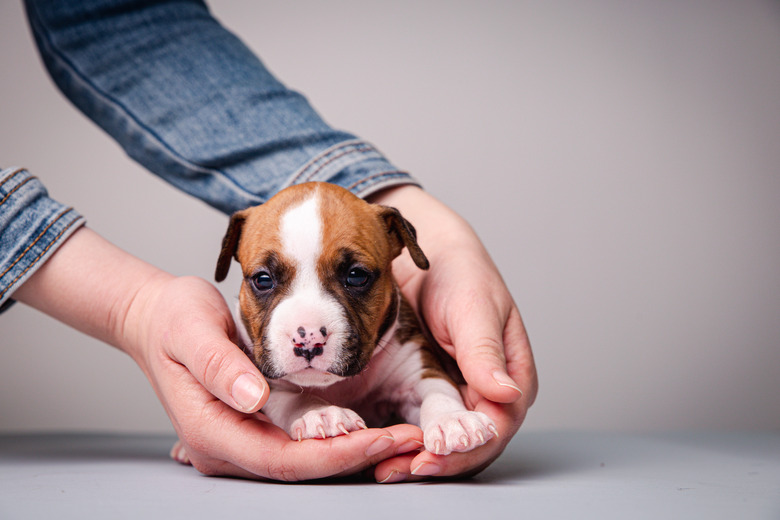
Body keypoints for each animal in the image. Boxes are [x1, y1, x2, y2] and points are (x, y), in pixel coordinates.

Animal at [213, 183, 494, 456]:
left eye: (356, 276)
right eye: (263, 280)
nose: (308, 339)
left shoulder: (415, 366)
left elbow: (438, 389)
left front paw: (454, 419)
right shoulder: (267, 386)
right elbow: (295, 398)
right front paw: (321, 413)